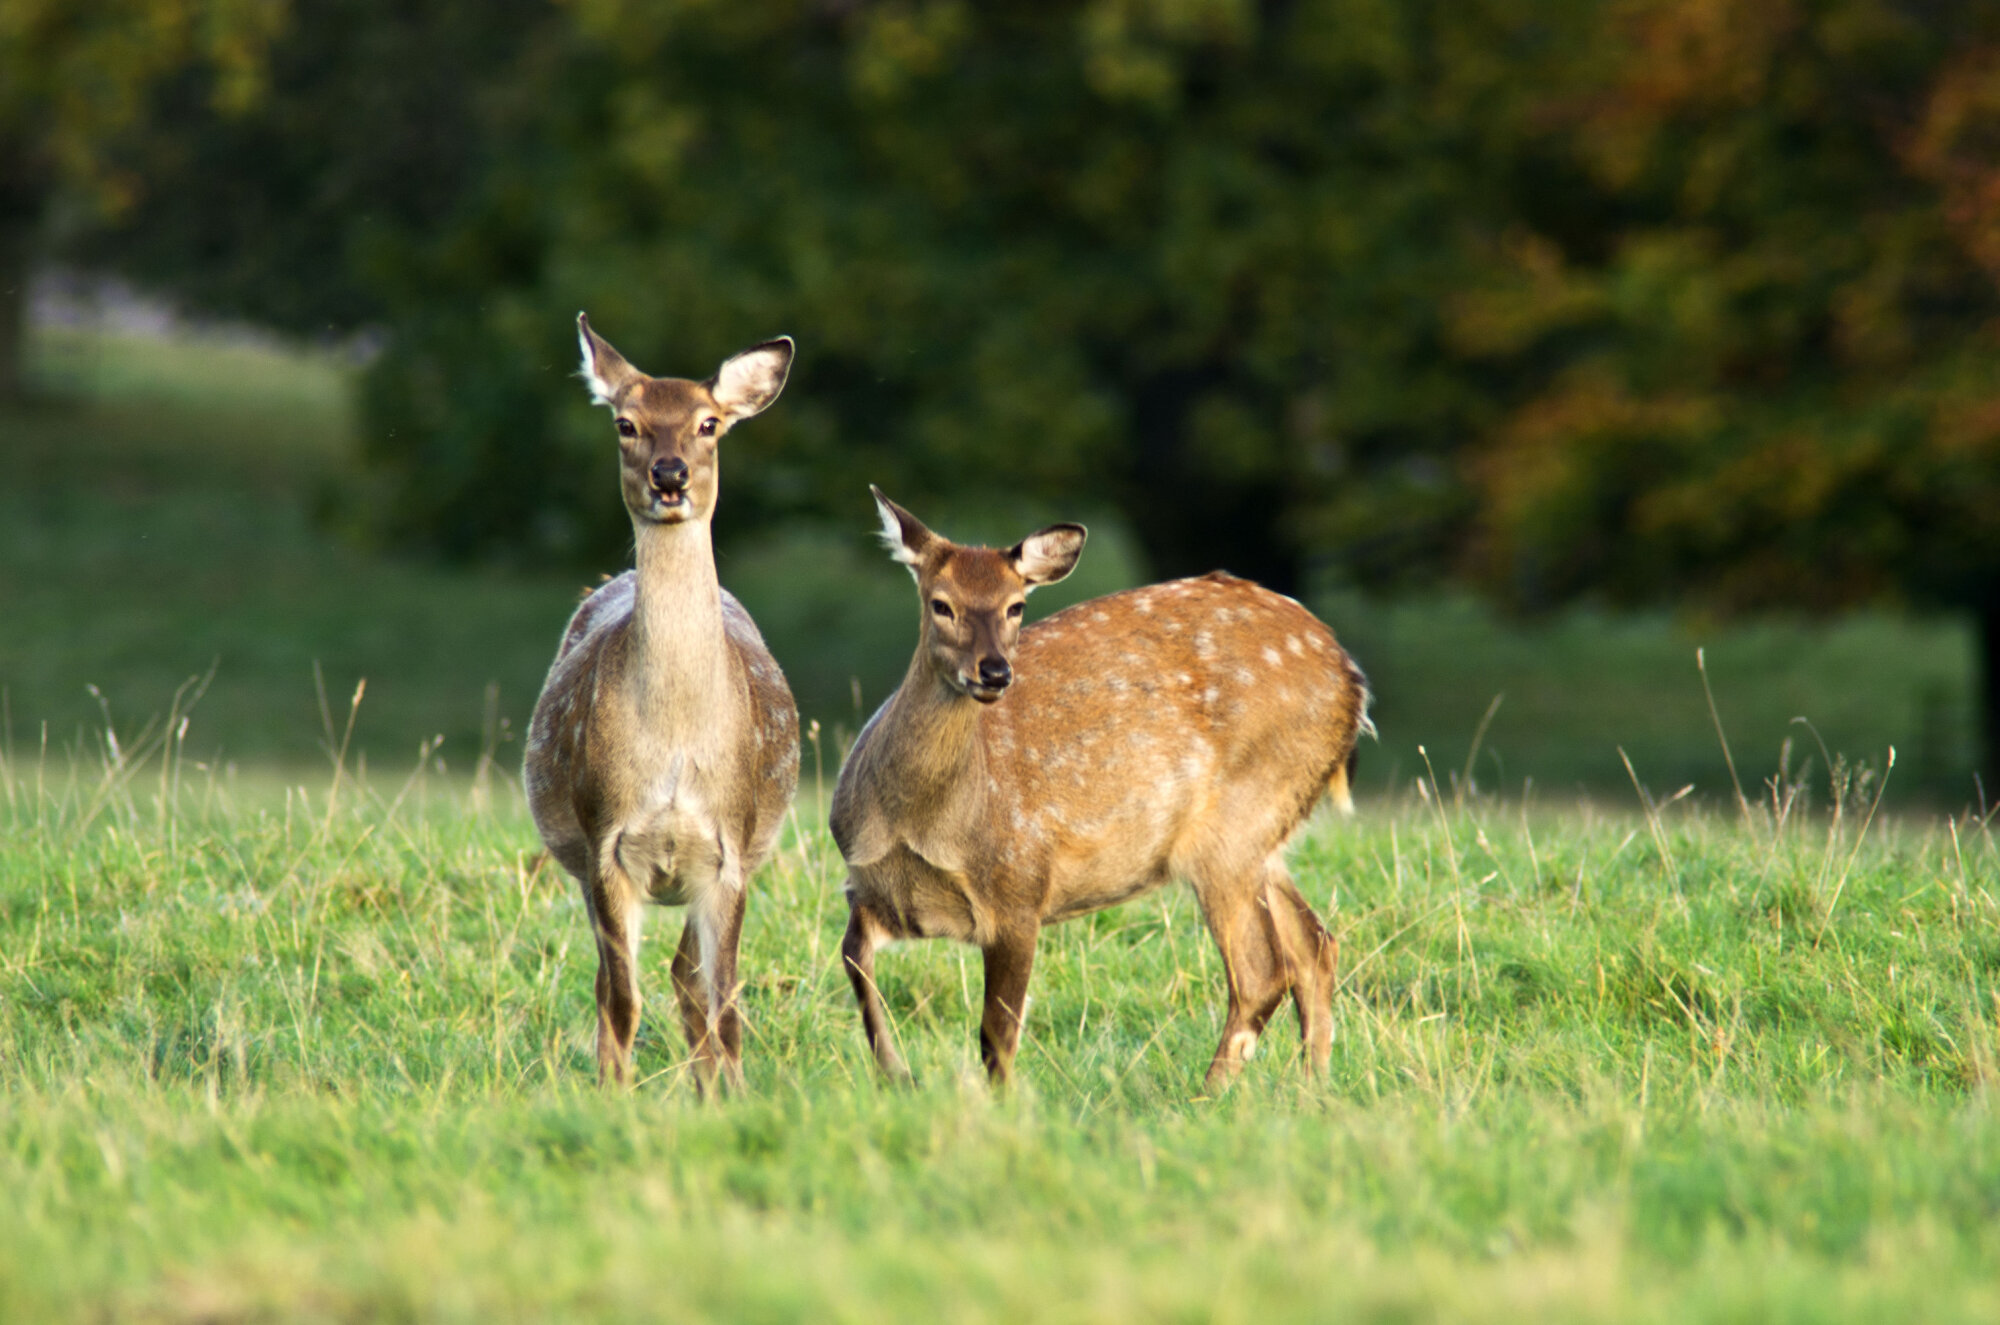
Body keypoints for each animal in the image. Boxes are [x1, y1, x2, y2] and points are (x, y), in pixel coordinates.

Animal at [523, 314, 800, 1092]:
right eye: (626, 422)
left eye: (709, 423)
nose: (669, 475)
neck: (676, 741)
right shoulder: (606, 841)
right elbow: (621, 1000)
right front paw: (613, 1095)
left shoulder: (729, 850)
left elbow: (724, 998)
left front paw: (733, 1094)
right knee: (620, 983)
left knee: (689, 979)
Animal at [830, 488, 1372, 1093]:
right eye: (940, 604)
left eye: (1017, 606)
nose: (994, 672)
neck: (919, 826)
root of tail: (1351, 678)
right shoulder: (865, 884)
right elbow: (853, 962)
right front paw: (896, 1075)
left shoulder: (1020, 886)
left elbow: (997, 1033)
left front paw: (998, 1104)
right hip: (1265, 837)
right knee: (1314, 945)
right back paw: (1312, 1089)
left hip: (1235, 821)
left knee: (1261, 971)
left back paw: (1207, 1097)